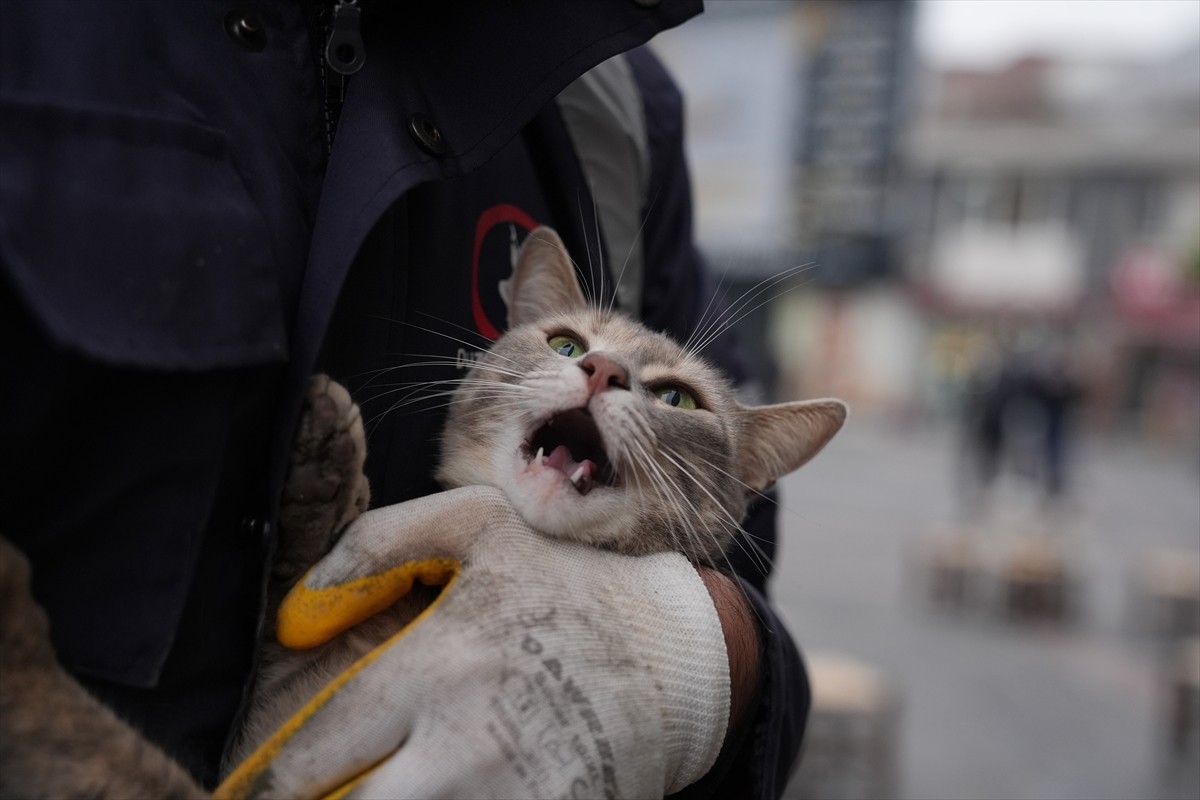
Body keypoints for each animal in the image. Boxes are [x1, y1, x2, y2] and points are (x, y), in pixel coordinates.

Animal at [226, 226, 844, 767]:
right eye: (566, 344)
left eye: (678, 398)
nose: (604, 368)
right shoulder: (277, 669)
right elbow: (289, 592)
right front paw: (321, 466)